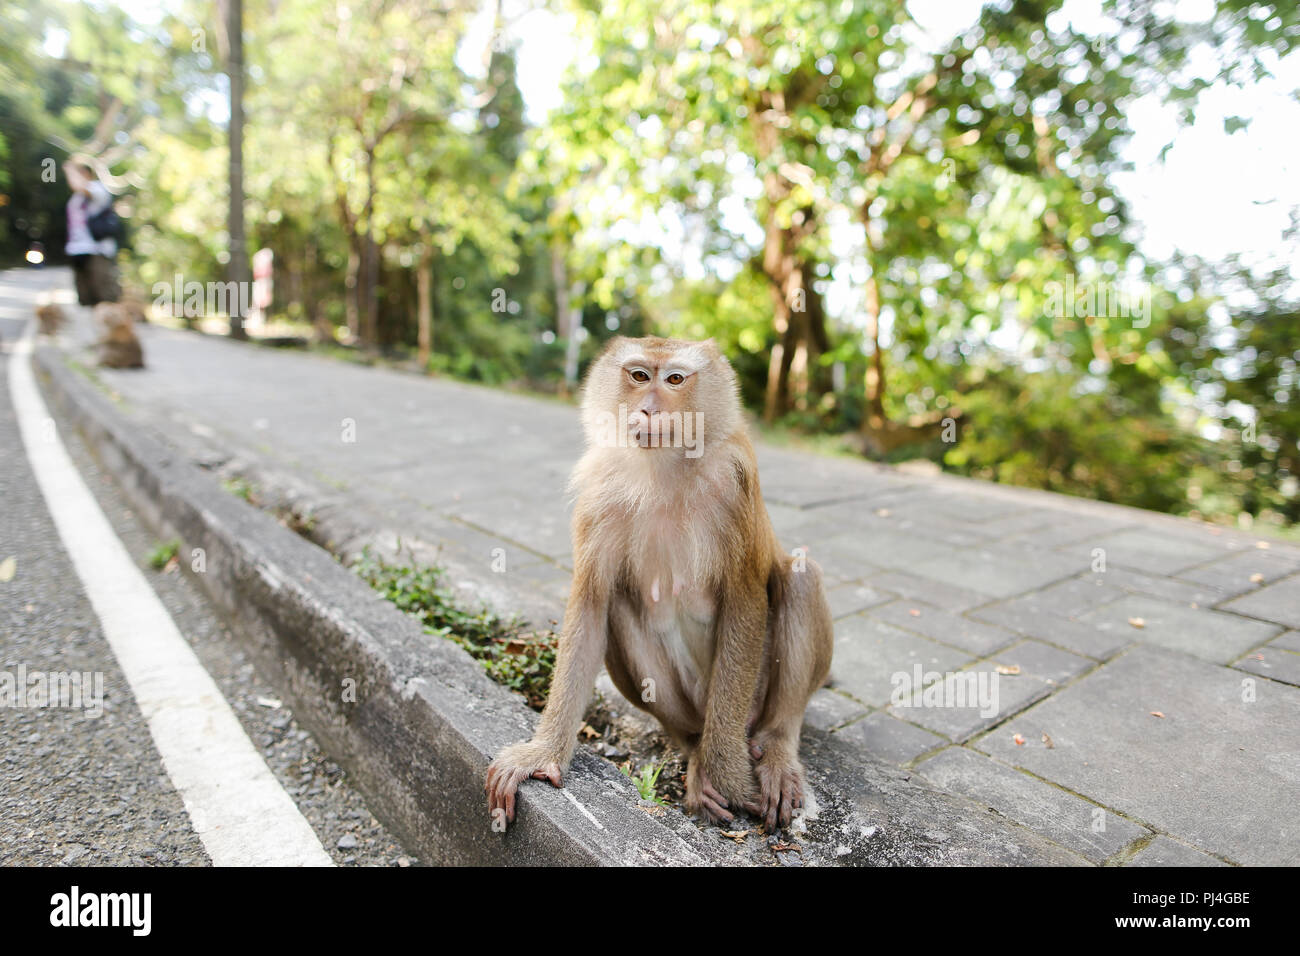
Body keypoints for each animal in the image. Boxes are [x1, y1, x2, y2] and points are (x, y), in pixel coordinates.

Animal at [488, 335, 832, 832]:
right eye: (638, 376)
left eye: (674, 379)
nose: (648, 409)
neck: (663, 467)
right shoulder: (597, 494)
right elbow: (592, 604)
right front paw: (542, 753)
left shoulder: (736, 480)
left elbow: (745, 600)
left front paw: (730, 778)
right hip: (688, 705)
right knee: (617, 608)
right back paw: (693, 752)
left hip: (751, 702)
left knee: (801, 578)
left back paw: (774, 748)